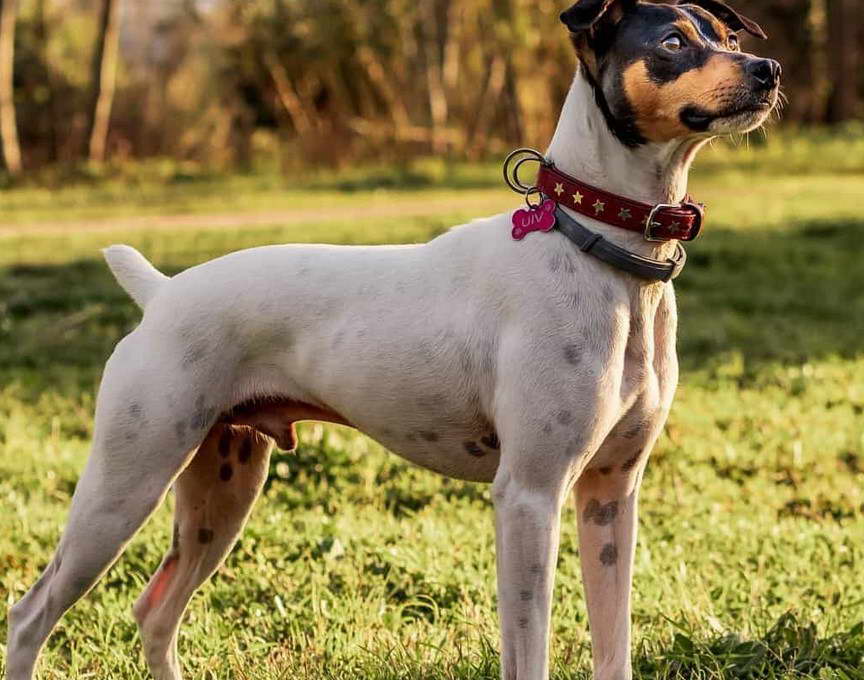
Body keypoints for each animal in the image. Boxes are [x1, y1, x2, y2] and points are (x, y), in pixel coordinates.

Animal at [3, 1, 780, 680]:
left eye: (724, 35)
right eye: (673, 42)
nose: (768, 68)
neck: (599, 249)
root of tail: (161, 294)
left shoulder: (610, 496)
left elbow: (612, 645)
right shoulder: (529, 497)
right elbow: (527, 650)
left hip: (221, 490)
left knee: (156, 611)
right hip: (125, 485)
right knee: (31, 614)